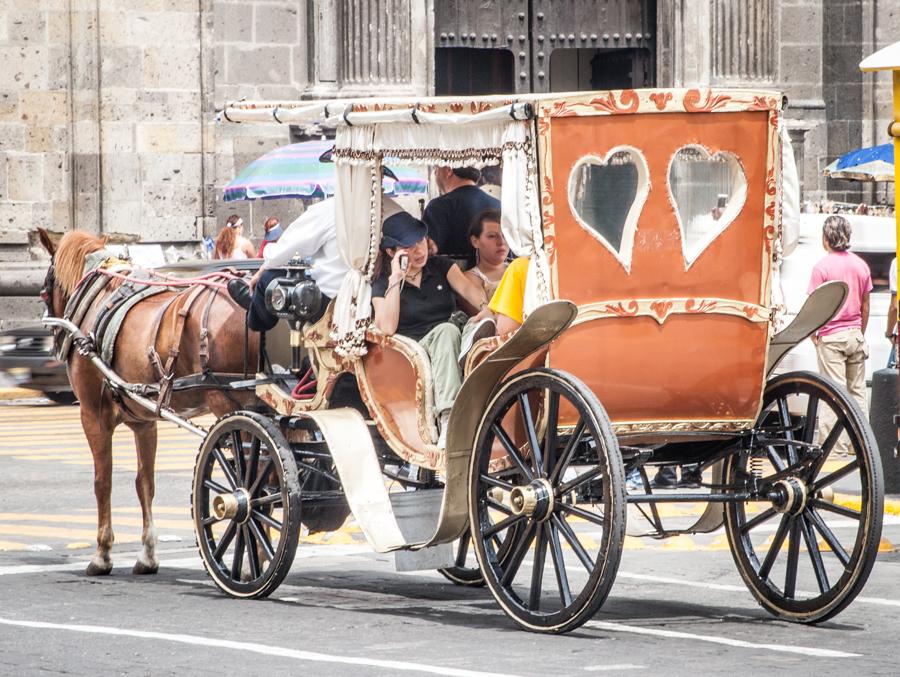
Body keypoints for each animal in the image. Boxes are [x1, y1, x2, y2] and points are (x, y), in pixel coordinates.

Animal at [38, 228, 256, 576]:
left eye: (47, 280)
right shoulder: (143, 421)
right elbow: (145, 483)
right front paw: (147, 555)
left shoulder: (92, 414)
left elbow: (103, 481)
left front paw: (102, 554)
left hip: (230, 404)